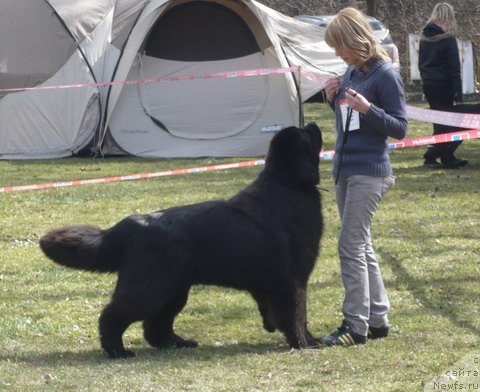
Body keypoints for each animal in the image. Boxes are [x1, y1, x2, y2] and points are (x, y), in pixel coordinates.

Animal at [39, 122, 324, 358]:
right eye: (306, 133)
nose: (312, 123)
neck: (287, 184)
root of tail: (129, 226)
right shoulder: (292, 280)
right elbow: (296, 314)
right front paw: (306, 342)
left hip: (172, 289)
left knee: (155, 324)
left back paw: (177, 343)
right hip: (149, 288)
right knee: (113, 316)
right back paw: (118, 351)